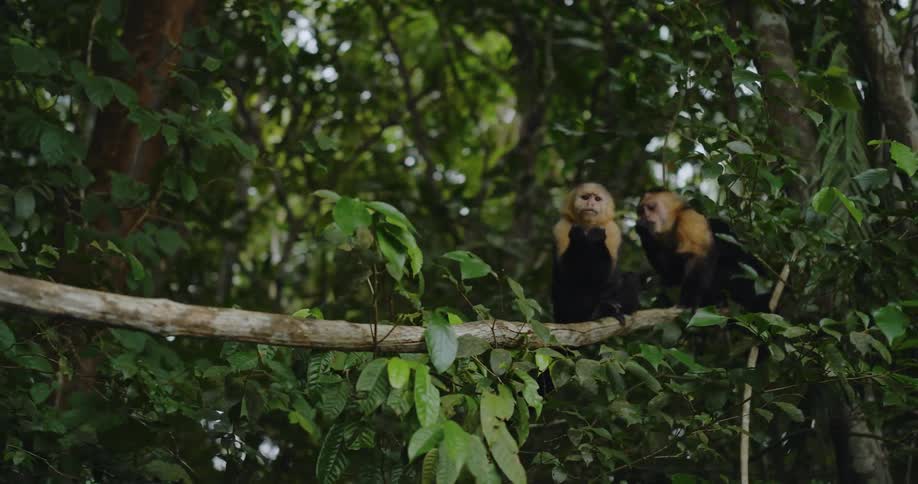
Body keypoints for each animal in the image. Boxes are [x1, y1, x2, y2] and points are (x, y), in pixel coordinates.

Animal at [551, 182, 640, 324]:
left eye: (597, 199)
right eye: (585, 197)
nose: (590, 203)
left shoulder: (612, 230)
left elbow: (606, 276)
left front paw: (596, 238)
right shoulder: (561, 227)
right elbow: (567, 273)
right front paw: (578, 236)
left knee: (630, 278)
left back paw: (607, 310)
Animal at [634, 189, 770, 312]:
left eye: (651, 207)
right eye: (641, 212)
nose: (646, 216)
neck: (672, 226)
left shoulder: (689, 218)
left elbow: (698, 255)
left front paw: (688, 302)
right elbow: (672, 277)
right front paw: (642, 229)